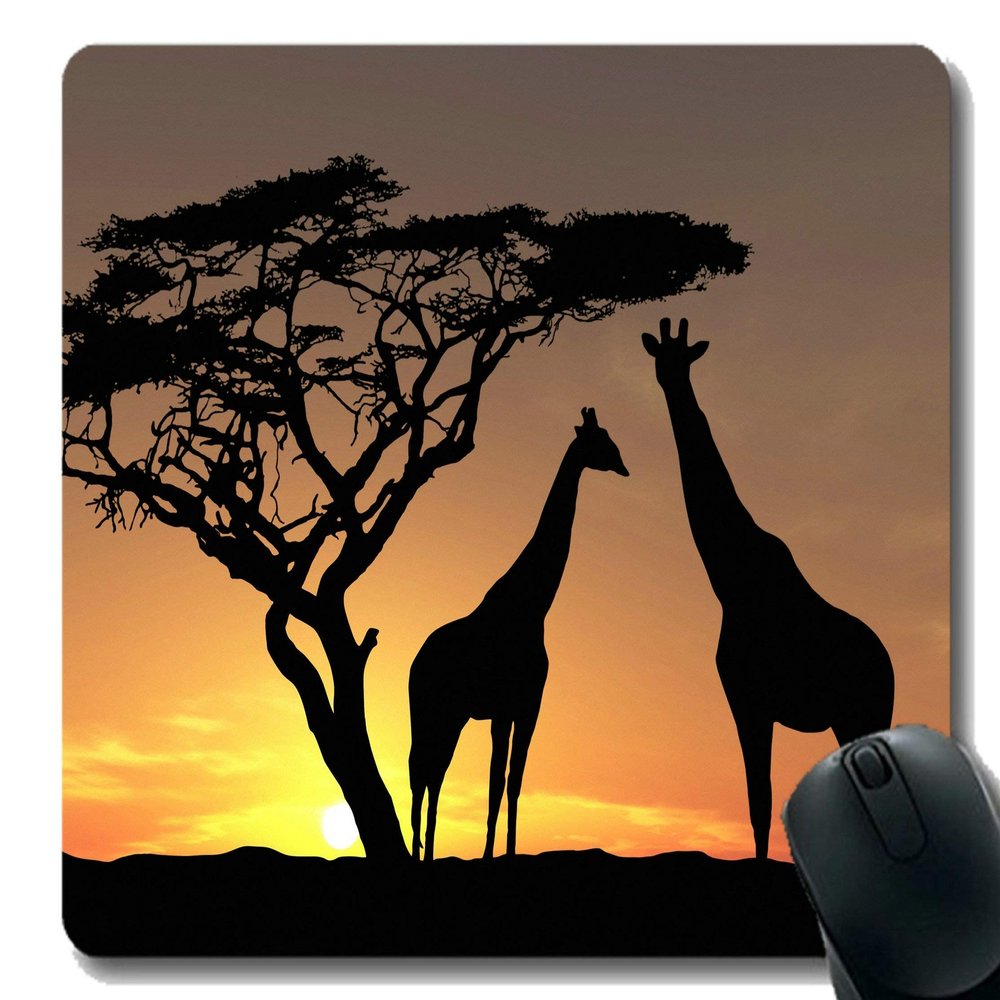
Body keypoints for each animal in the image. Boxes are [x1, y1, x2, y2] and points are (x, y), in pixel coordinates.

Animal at [408, 407, 629, 861]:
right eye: (600, 441)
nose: (624, 465)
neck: (533, 607)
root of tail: (414, 664)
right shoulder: (508, 707)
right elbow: (497, 781)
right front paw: (490, 854)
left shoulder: (526, 705)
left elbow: (513, 781)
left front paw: (506, 852)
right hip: (432, 711)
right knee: (423, 772)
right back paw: (422, 851)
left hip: (450, 716)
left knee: (431, 773)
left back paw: (426, 849)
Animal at [641, 317, 894, 860]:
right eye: (659, 357)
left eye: (684, 358)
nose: (670, 381)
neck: (731, 581)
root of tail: (887, 663)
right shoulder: (745, 700)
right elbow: (757, 801)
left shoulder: (750, 700)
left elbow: (760, 799)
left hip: (863, 708)